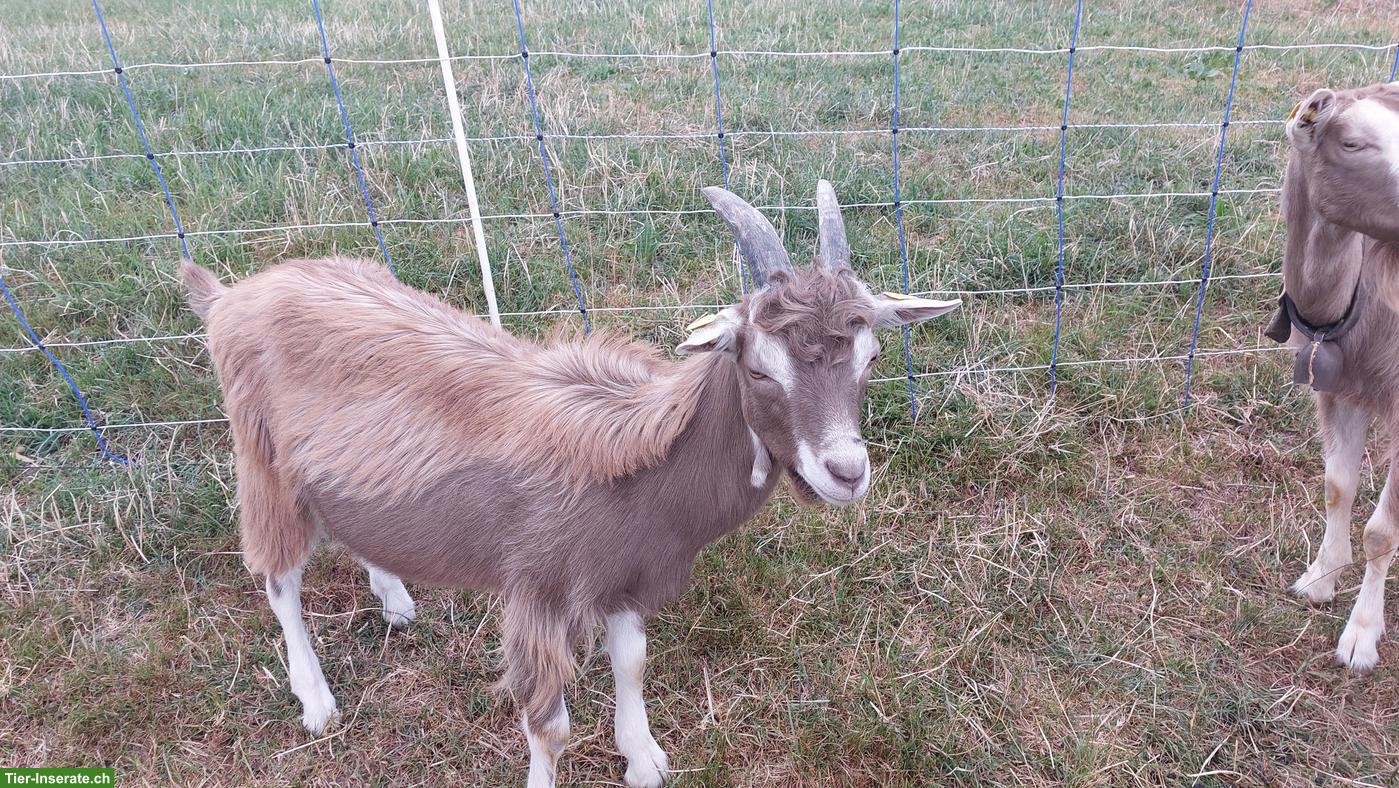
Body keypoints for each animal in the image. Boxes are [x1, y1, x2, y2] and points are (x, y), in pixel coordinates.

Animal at [183, 180, 960, 786]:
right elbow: (548, 724)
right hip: (262, 461)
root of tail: (230, 296)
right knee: (279, 579)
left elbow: (632, 664)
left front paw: (643, 760)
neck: (636, 466)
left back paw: (396, 598)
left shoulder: (624, 574)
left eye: (871, 356)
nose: (846, 472)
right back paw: (316, 702)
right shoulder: (539, 586)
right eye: (760, 366)